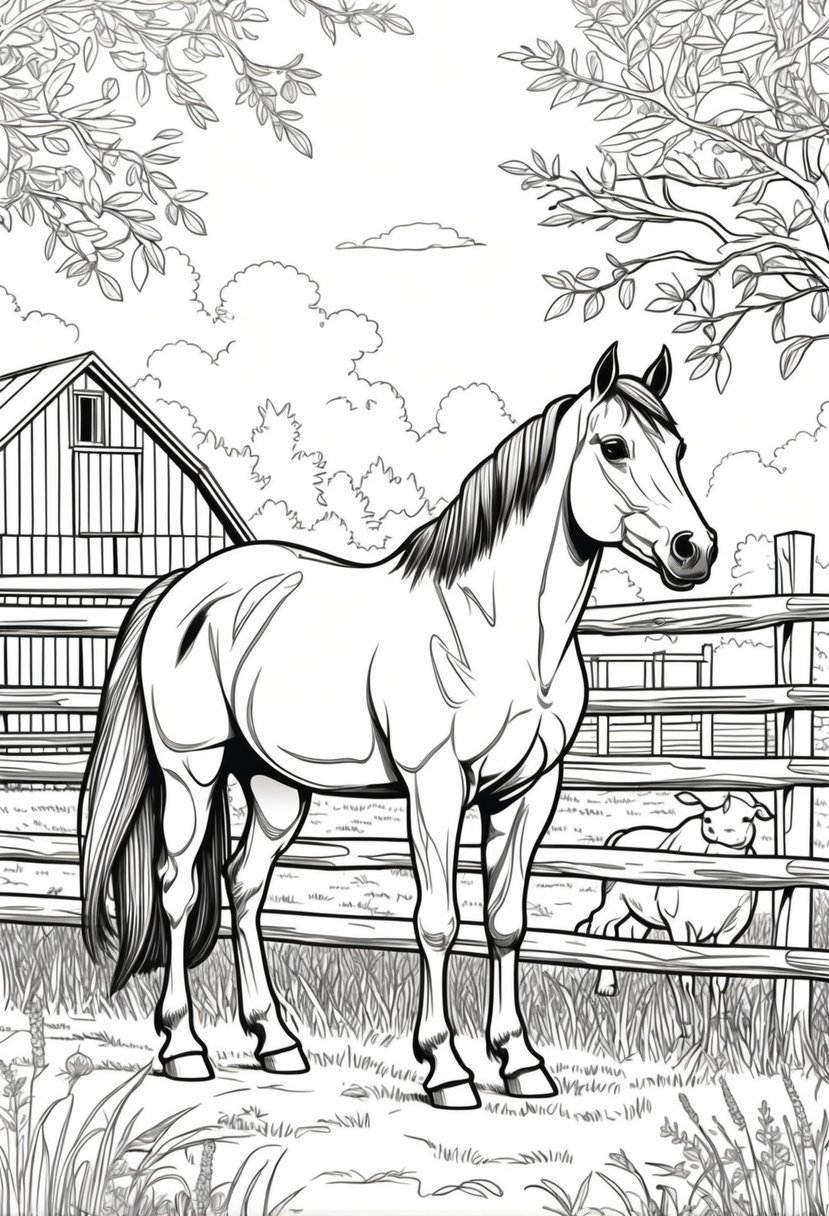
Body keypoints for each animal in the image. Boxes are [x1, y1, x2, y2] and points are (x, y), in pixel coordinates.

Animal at [79, 341, 716, 1110]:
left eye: (679, 448)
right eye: (614, 446)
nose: (694, 549)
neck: (496, 630)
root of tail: (179, 588)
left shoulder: (528, 792)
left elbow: (506, 923)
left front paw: (520, 1062)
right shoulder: (435, 786)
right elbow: (438, 921)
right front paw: (446, 1068)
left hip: (274, 786)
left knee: (245, 885)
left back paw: (276, 1043)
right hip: (191, 770)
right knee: (179, 890)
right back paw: (183, 1047)